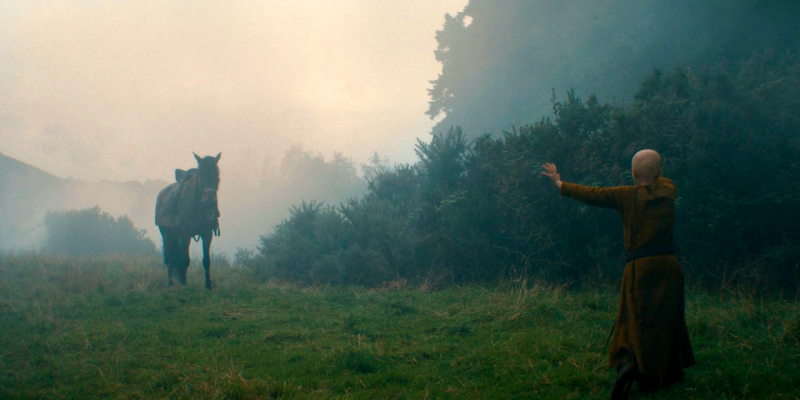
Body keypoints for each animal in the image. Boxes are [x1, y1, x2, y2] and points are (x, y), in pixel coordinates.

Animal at [155, 152, 221, 289]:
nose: (209, 202)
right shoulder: (185, 233)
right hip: (167, 234)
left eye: (217, 176)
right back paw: (171, 283)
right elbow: (185, 260)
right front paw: (184, 285)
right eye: (201, 176)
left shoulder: (207, 234)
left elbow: (206, 260)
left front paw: (208, 286)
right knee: (169, 257)